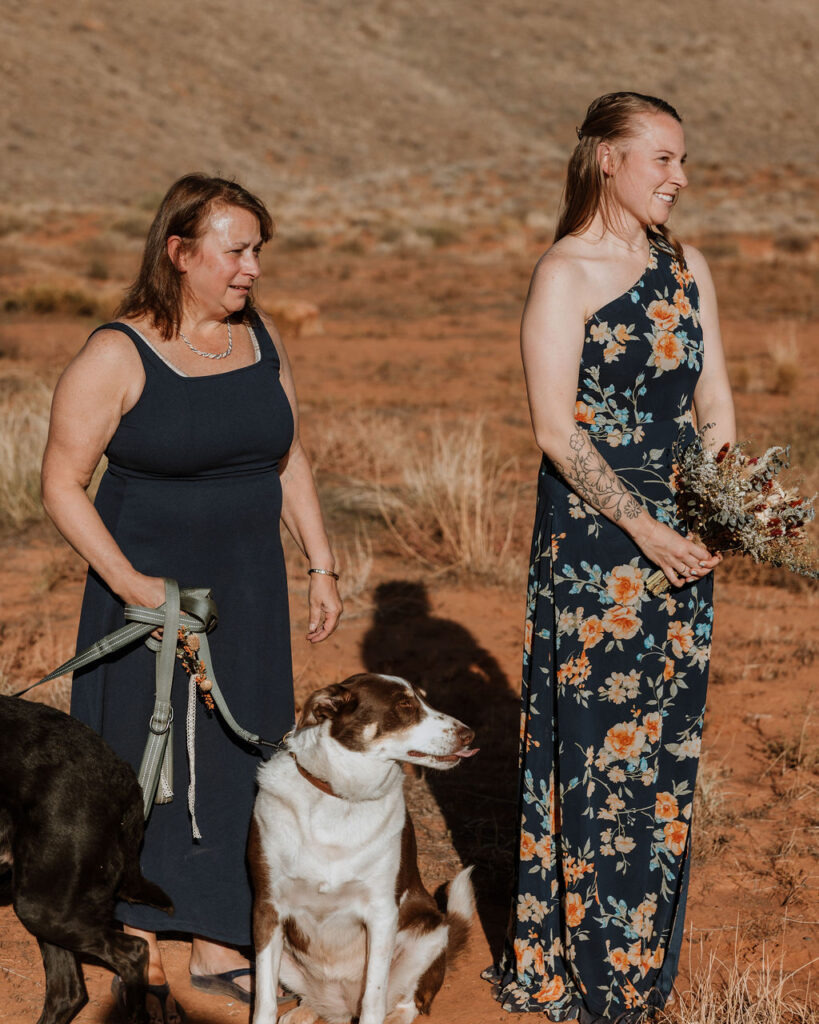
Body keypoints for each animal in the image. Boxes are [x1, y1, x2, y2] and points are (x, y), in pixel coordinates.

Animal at [249, 671, 479, 1024]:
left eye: (424, 699)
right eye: (405, 706)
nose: (470, 735)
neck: (343, 797)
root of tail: (343, 1004)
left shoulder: (383, 913)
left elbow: (374, 998)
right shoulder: (267, 907)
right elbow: (264, 999)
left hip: (428, 935)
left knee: (405, 1003)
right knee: (316, 1005)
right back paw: (302, 1013)